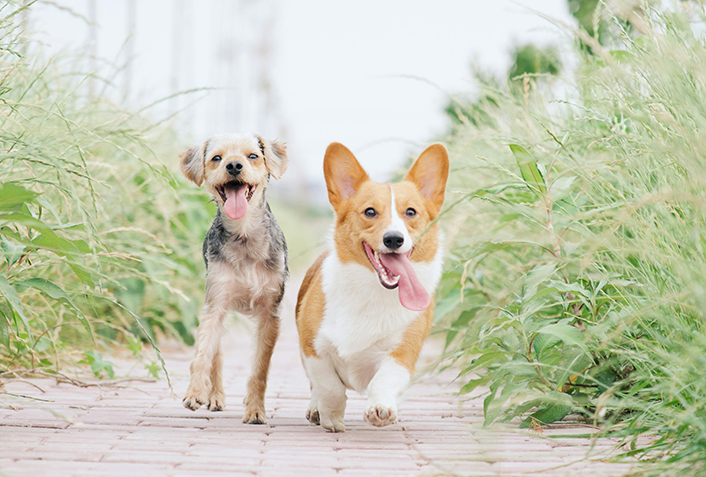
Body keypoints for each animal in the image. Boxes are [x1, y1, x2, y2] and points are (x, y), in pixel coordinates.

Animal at [180, 132, 288, 422]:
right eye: (217, 158)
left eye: (253, 156)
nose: (234, 166)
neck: (244, 233)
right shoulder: (215, 302)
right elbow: (202, 354)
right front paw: (195, 391)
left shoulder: (270, 314)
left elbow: (260, 368)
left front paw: (255, 410)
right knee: (215, 354)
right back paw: (214, 396)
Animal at [294, 141, 448, 432]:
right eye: (369, 212)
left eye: (411, 212)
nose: (394, 239)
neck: (373, 291)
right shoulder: (313, 349)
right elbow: (329, 387)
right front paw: (331, 417)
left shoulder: (403, 354)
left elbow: (384, 379)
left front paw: (381, 409)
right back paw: (315, 409)